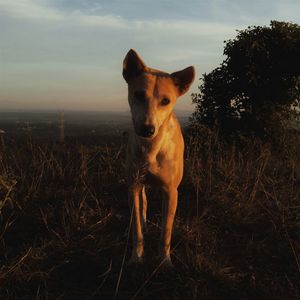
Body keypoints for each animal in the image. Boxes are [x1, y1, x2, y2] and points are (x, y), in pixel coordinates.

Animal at [122, 49, 195, 268]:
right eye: (138, 94)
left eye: (165, 101)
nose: (147, 129)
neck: (151, 149)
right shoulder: (133, 185)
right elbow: (136, 227)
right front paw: (137, 257)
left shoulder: (171, 192)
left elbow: (166, 232)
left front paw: (164, 260)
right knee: (143, 202)